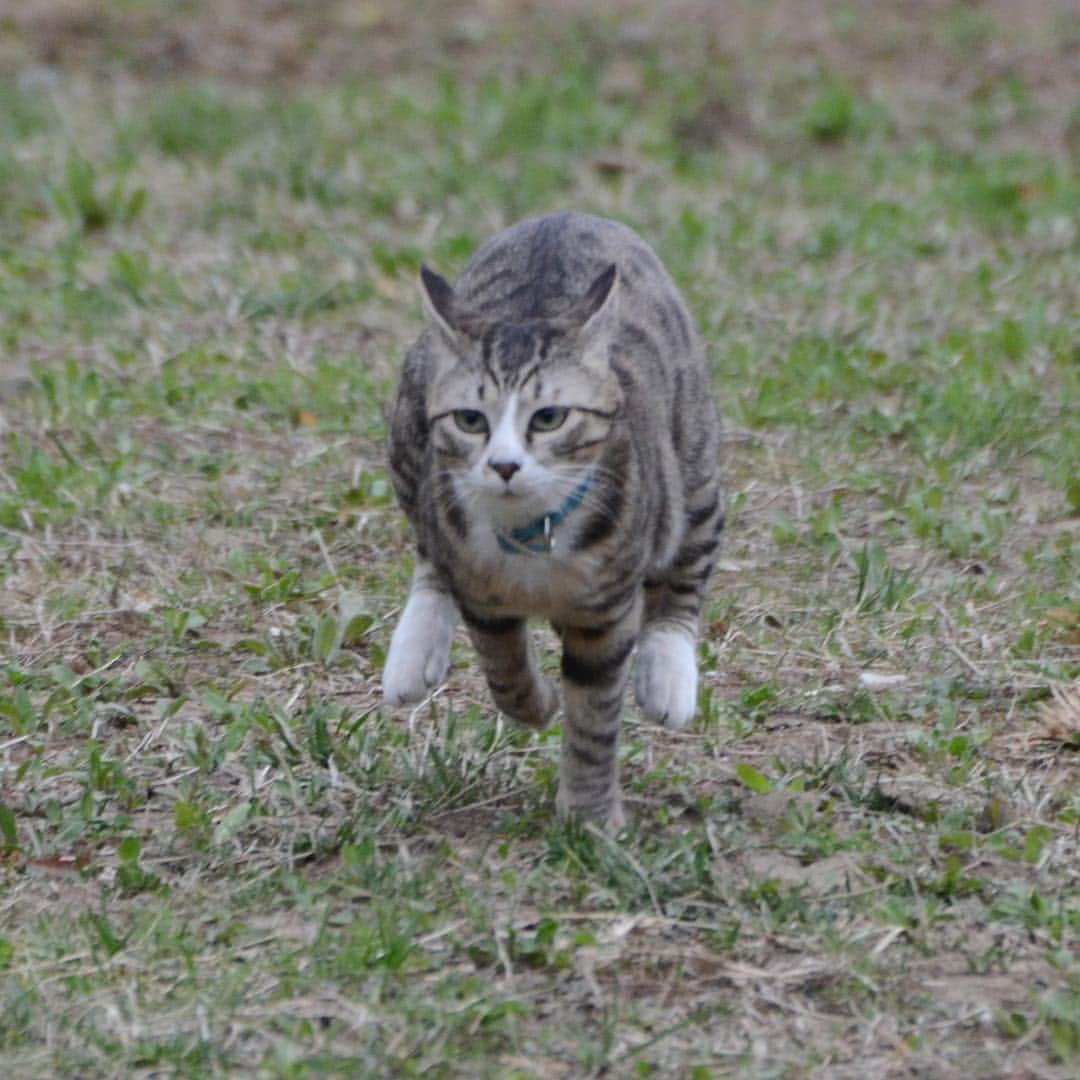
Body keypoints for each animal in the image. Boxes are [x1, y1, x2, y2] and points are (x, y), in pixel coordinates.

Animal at [384, 214, 721, 829]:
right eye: (470, 420)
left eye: (549, 418)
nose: (504, 464)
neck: (530, 532)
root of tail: (565, 216)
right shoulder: (481, 596)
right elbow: (502, 666)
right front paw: (536, 704)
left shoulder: (607, 613)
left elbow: (593, 713)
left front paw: (588, 815)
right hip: (406, 430)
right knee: (428, 551)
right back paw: (415, 645)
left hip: (692, 460)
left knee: (692, 558)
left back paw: (668, 670)